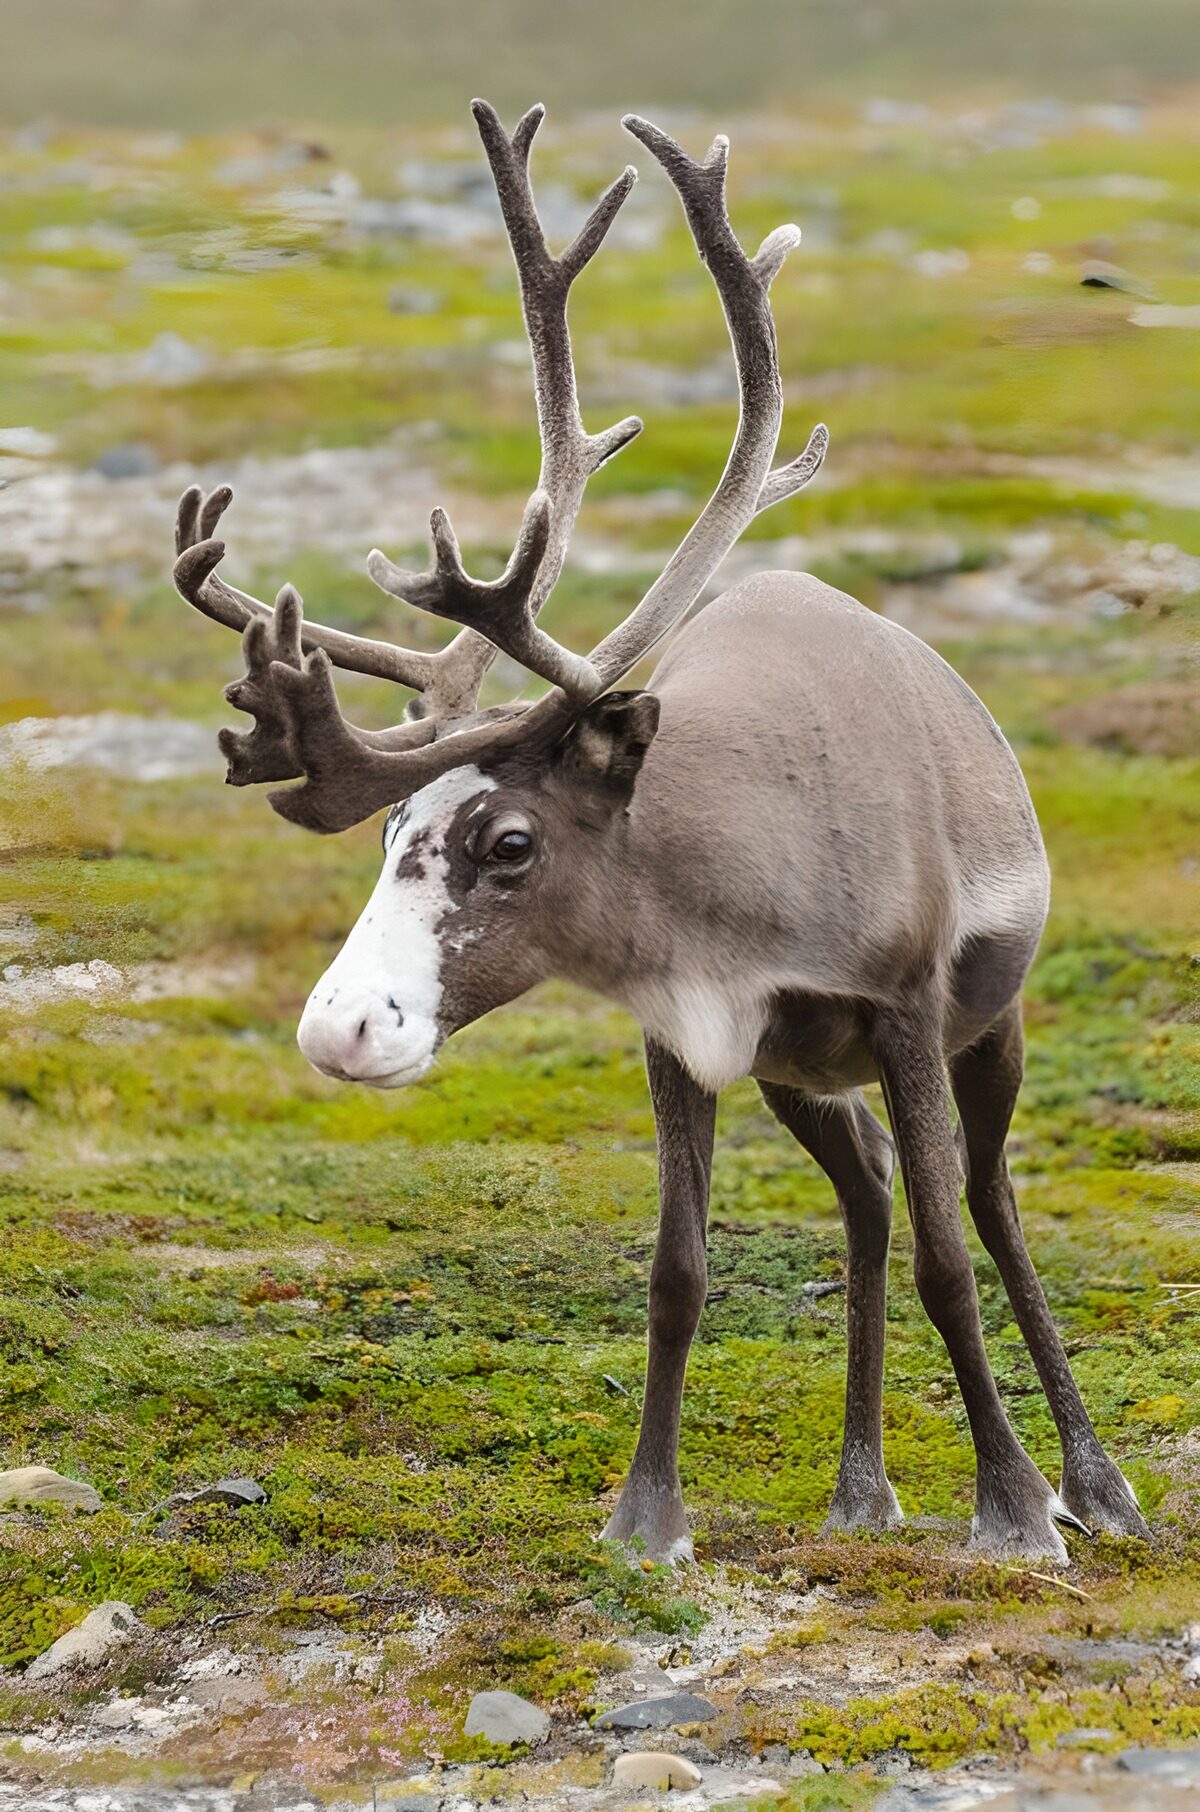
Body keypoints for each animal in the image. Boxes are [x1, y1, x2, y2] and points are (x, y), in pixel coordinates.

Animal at [171, 100, 1150, 1565]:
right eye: (394, 820)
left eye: (511, 843)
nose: (340, 1030)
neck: (743, 886)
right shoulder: (685, 1032)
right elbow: (679, 1270)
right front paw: (646, 1518)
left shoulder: (904, 1008)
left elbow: (950, 1259)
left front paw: (1018, 1508)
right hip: (802, 1072)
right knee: (867, 1194)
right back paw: (860, 1488)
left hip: (991, 1024)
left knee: (982, 1204)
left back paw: (1093, 1481)